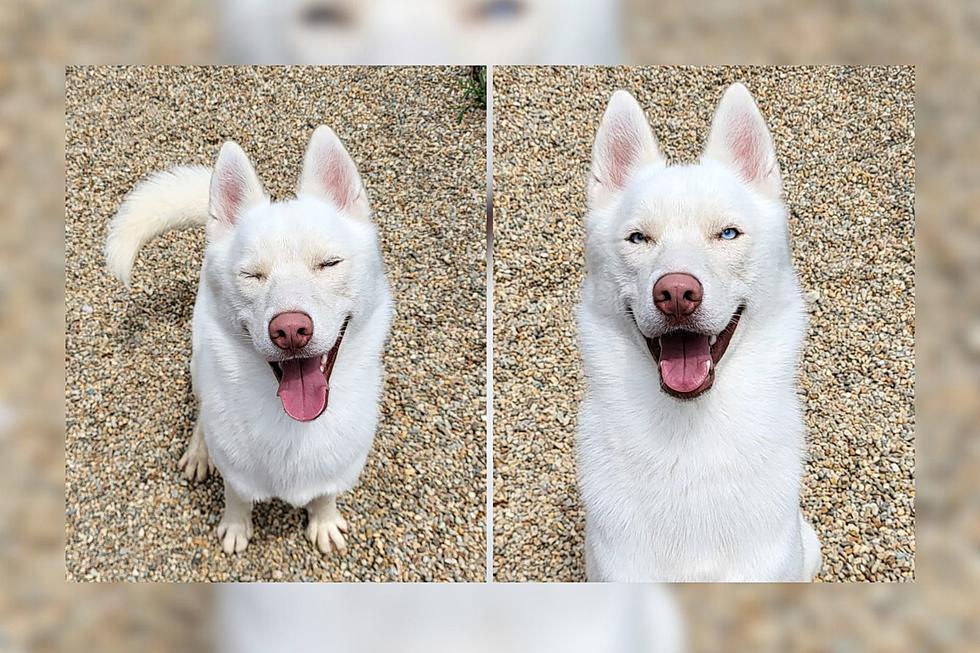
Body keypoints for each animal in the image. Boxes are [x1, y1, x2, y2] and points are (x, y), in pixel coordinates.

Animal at [108, 126, 394, 556]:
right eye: (252, 275)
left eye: (329, 263)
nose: (290, 330)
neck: (293, 425)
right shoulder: (237, 473)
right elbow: (237, 497)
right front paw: (235, 528)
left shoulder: (341, 463)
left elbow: (325, 494)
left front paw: (324, 521)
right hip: (198, 363)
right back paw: (200, 450)